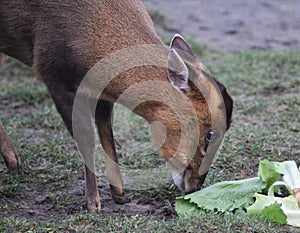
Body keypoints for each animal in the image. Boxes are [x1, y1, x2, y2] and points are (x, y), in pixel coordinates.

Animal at [0, 0, 233, 212]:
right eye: (210, 134)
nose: (195, 186)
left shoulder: (101, 93)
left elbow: (106, 132)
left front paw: (119, 193)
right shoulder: (53, 75)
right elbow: (86, 137)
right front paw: (94, 204)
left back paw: (14, 162)